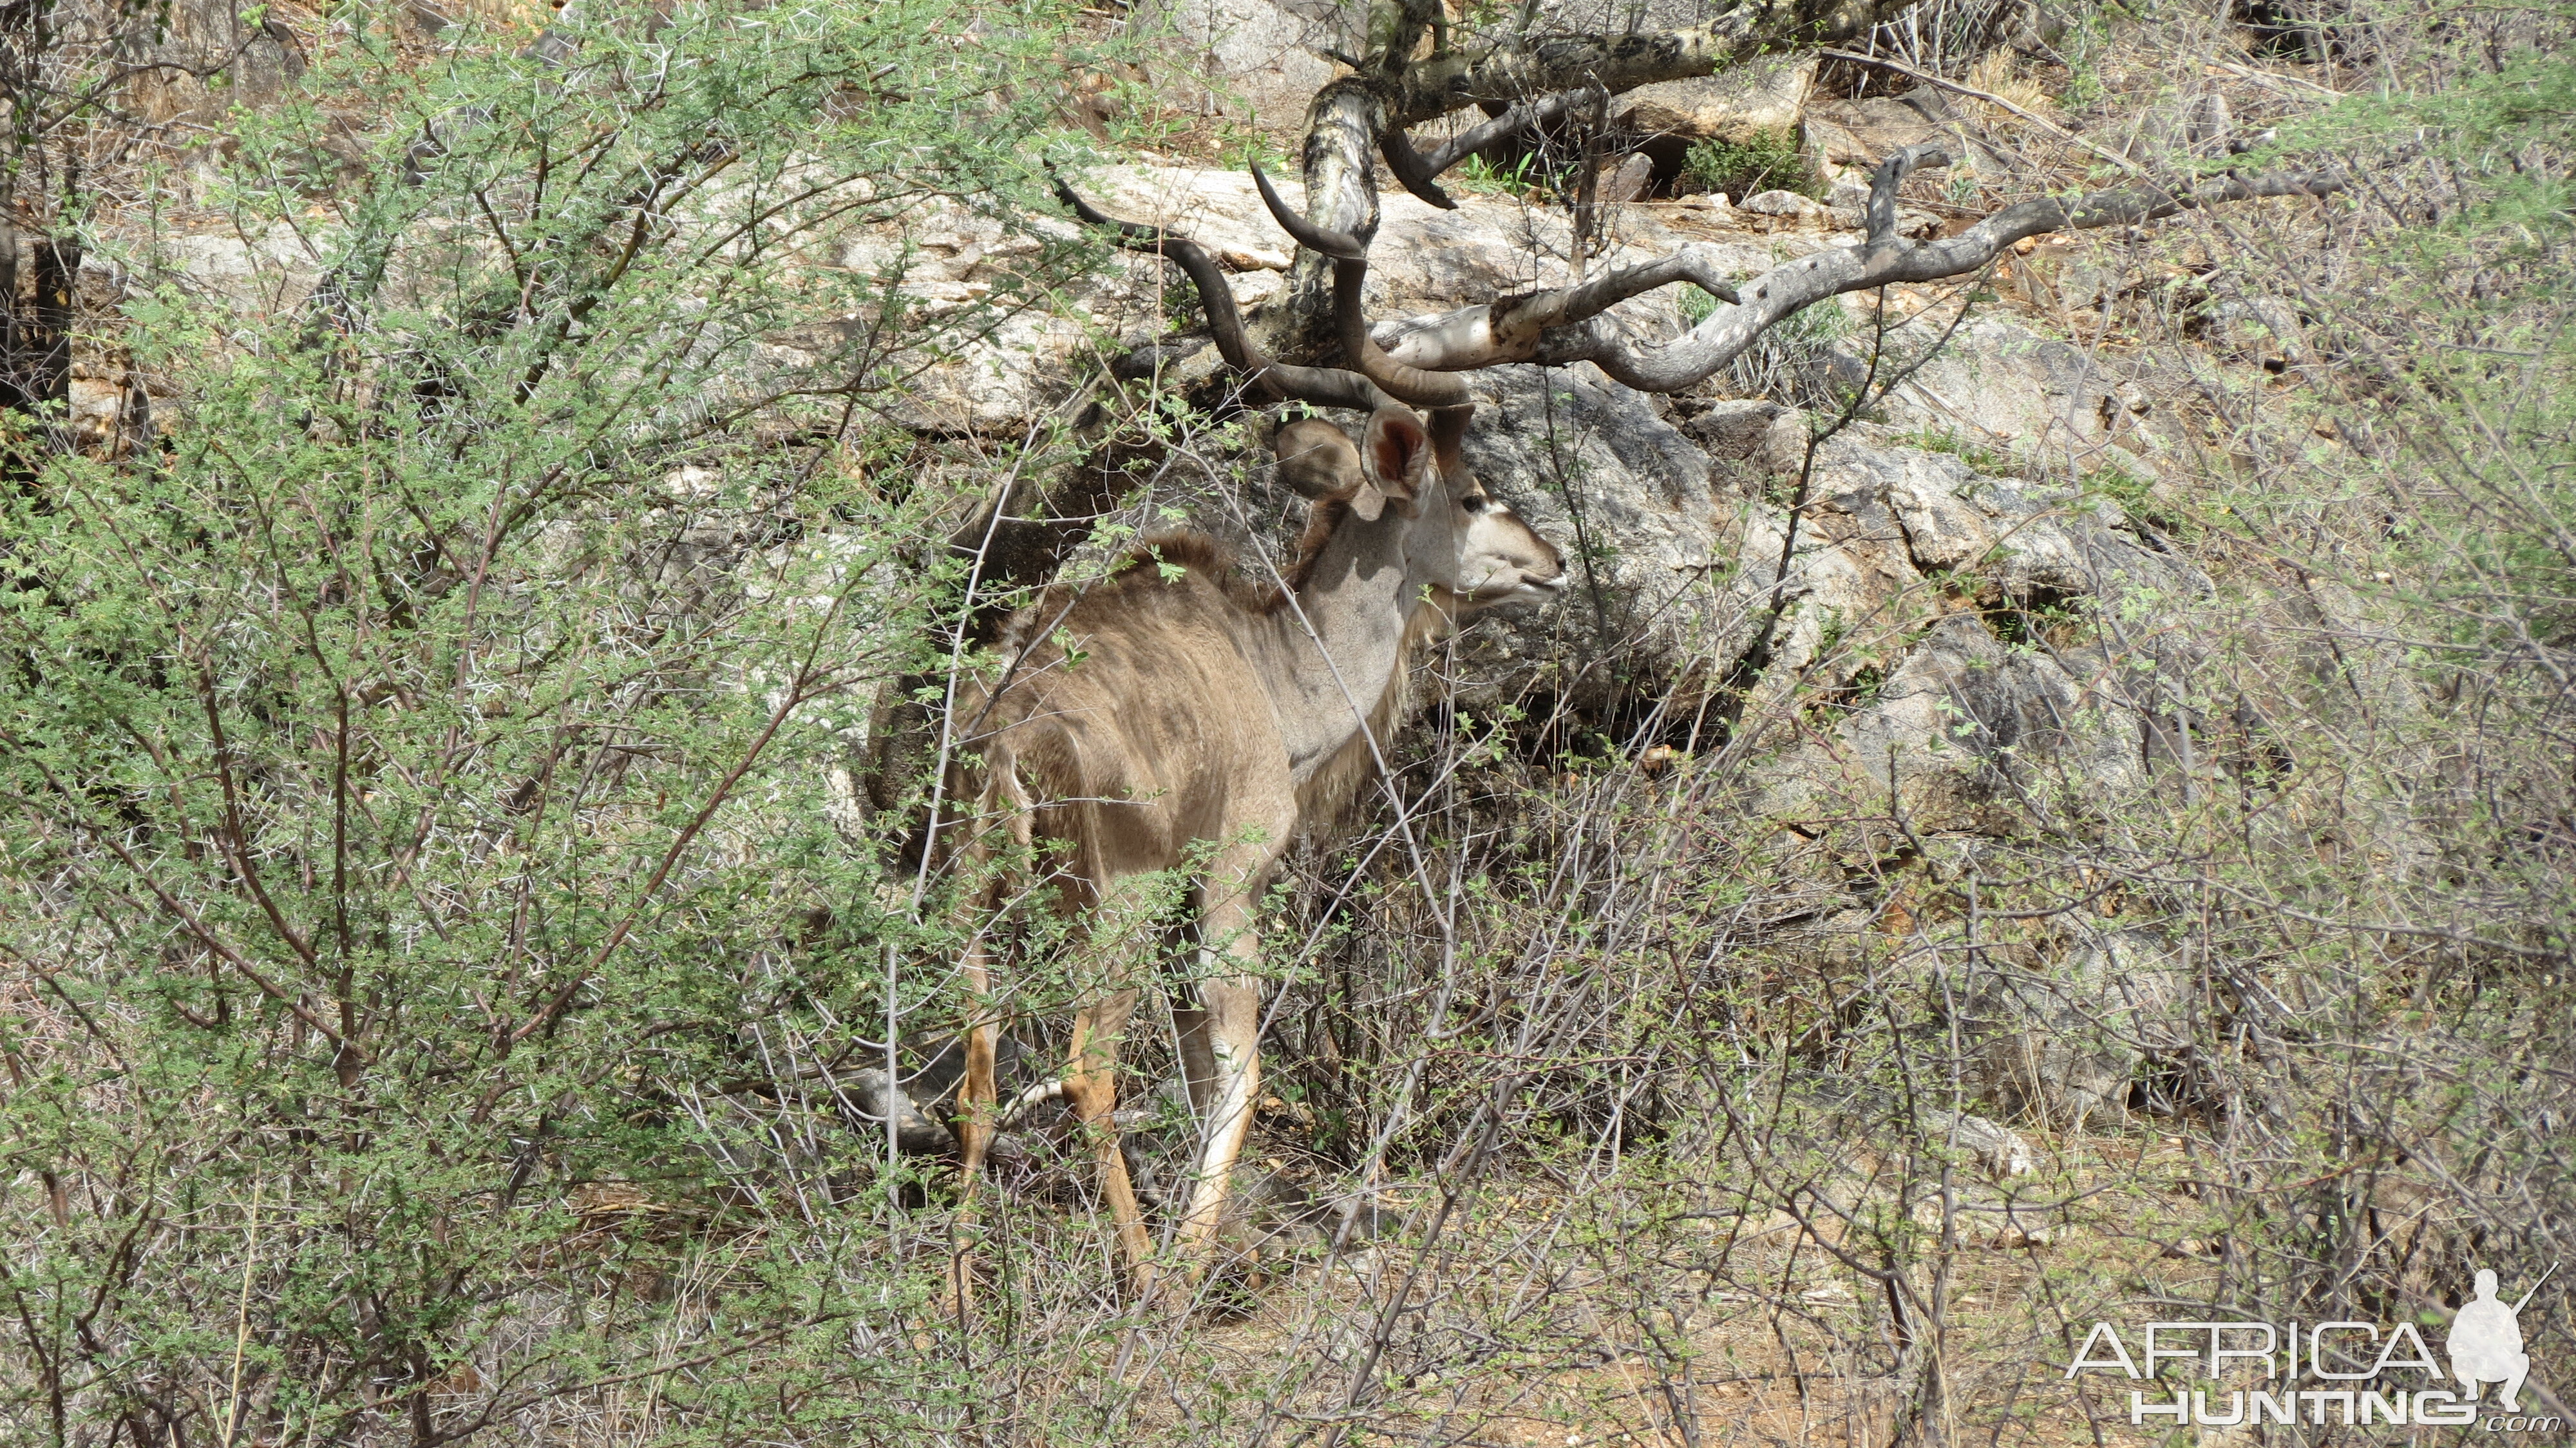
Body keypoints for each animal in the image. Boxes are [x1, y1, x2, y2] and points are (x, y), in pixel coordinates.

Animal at [938, 169, 1556, 1299]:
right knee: (1088, 1069)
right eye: (1475, 493)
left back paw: (947, 1312)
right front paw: (1188, 1265)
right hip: (1115, 908)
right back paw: (1145, 1282)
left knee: (980, 1071)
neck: (1271, 674)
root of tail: (1010, 740)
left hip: (970, 898)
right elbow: (1237, 1068)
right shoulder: (1223, 884)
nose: (1552, 563)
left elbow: (1197, 1072)